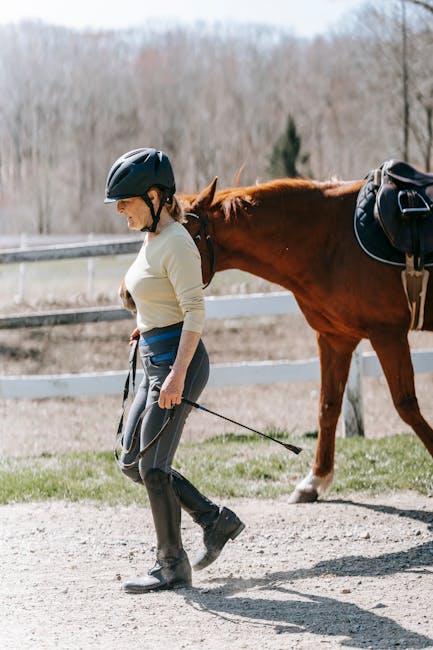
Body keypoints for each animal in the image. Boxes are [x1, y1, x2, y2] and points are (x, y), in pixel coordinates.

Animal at [177, 176, 430, 502]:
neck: (332, 240)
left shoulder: (388, 335)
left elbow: (406, 406)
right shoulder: (335, 338)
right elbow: (328, 407)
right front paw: (315, 480)